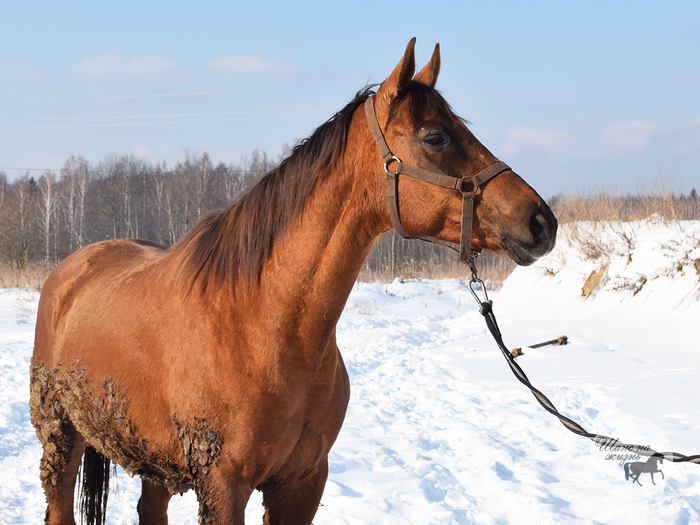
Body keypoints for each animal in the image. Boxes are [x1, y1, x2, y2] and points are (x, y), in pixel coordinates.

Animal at [30, 40, 556, 524]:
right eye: (435, 137)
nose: (542, 222)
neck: (265, 324)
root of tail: (74, 268)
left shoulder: (303, 483)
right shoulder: (223, 487)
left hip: (154, 461)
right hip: (60, 437)